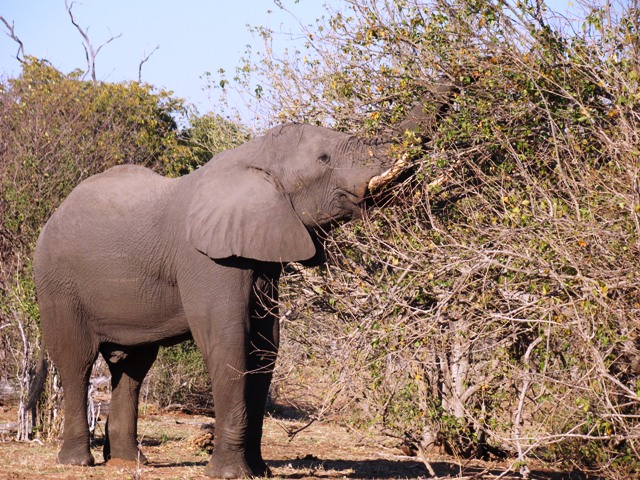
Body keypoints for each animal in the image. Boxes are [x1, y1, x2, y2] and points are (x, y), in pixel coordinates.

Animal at [26, 87, 456, 480]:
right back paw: (76, 462)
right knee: (76, 361)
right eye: (324, 159)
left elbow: (266, 346)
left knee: (132, 367)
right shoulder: (207, 258)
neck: (253, 158)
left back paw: (130, 462)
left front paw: (259, 471)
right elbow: (228, 339)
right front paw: (230, 473)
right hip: (56, 283)